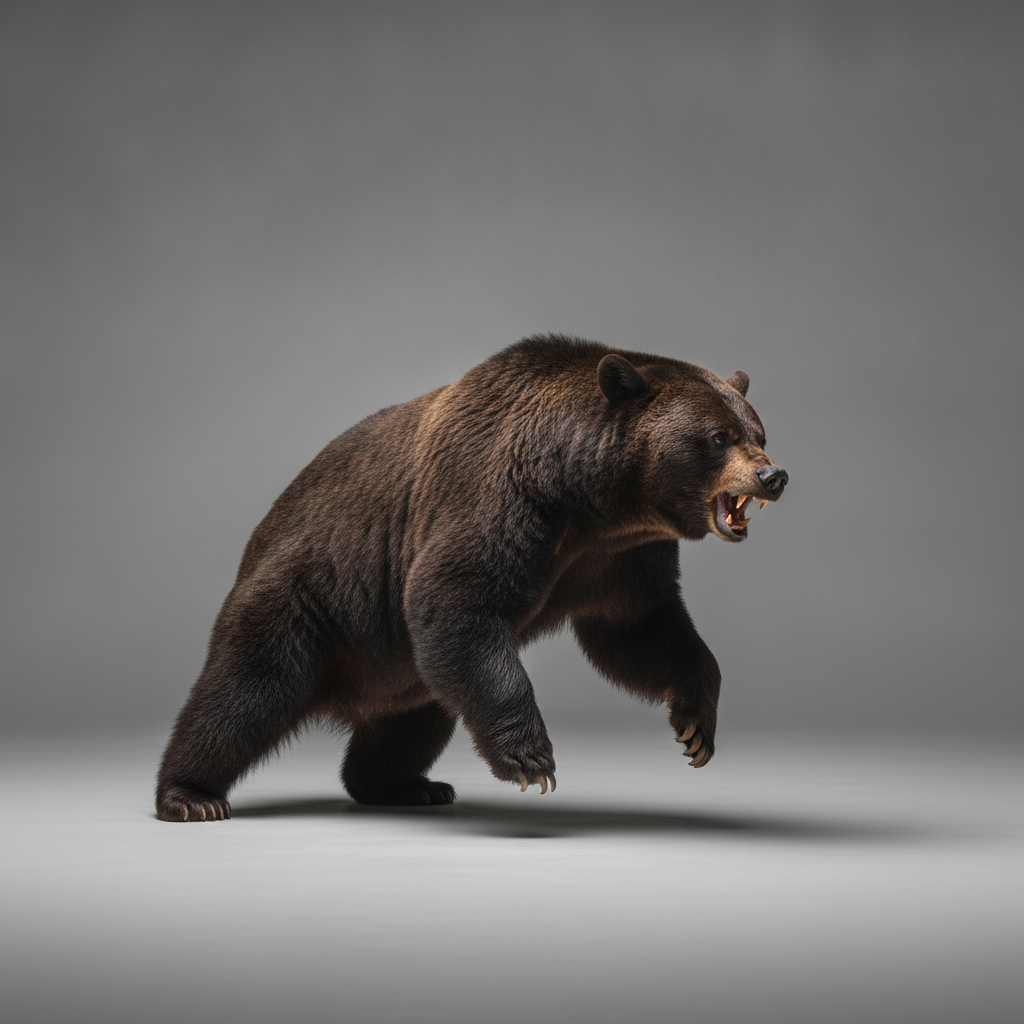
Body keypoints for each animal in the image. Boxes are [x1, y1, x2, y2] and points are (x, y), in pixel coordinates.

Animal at [156, 334, 788, 821]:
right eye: (719, 438)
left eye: (758, 431)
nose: (774, 475)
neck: (590, 500)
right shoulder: (501, 496)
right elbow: (455, 596)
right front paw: (532, 758)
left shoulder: (620, 557)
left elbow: (640, 628)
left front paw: (695, 727)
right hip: (305, 594)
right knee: (243, 691)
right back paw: (191, 795)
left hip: (400, 669)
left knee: (411, 723)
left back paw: (406, 786)